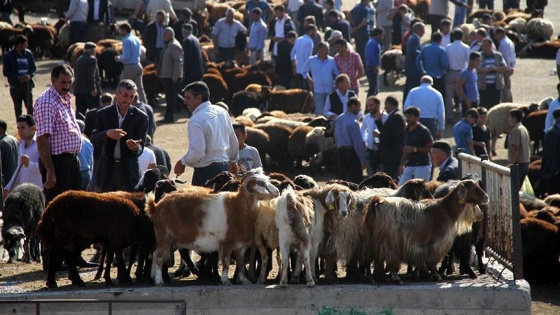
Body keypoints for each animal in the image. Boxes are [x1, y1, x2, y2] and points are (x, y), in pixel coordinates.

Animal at [149, 173, 280, 286]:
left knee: (155, 254)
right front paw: (225, 280)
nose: (277, 192)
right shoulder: (226, 243)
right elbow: (226, 262)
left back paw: (154, 277)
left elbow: (241, 263)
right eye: (260, 183)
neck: (237, 207)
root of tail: (156, 207)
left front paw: (244, 280)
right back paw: (159, 281)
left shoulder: (241, 246)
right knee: (159, 257)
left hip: (171, 241)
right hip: (165, 237)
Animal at [360, 179, 488, 286]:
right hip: (390, 240)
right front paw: (435, 275)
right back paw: (396, 278)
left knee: (369, 257)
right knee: (390, 258)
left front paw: (423, 274)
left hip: (371, 238)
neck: (446, 210)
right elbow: (432, 261)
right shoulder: (435, 243)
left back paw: (373, 277)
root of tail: (376, 203)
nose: (486, 197)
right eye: (473, 188)